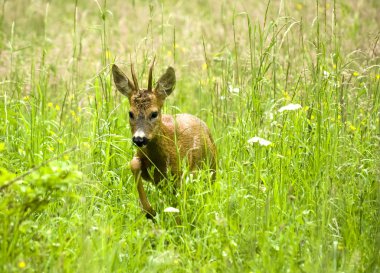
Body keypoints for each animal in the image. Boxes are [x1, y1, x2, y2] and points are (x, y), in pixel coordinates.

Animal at [111, 60, 215, 219]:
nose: (139, 139)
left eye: (154, 113)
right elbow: (133, 164)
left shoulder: (184, 172)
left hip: (212, 169)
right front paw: (150, 211)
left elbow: (181, 204)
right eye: (130, 113)